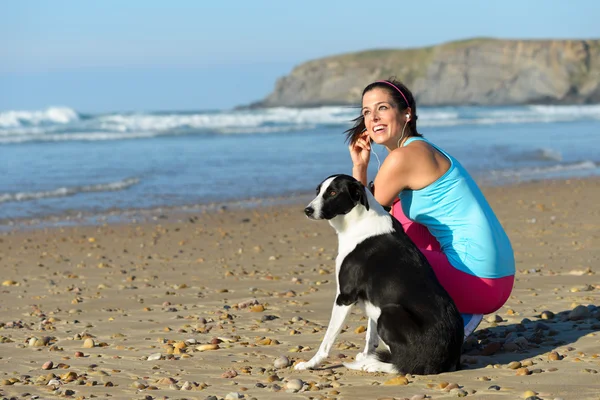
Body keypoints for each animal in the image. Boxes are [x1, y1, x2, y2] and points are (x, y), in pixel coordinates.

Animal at [296, 174, 464, 376]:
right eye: (318, 191)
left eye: (333, 192)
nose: (307, 210)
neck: (359, 220)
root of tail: (448, 362)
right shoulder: (371, 300)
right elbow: (370, 334)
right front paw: (367, 354)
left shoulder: (344, 297)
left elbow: (327, 339)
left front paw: (310, 364)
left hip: (389, 313)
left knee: (407, 365)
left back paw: (374, 365)